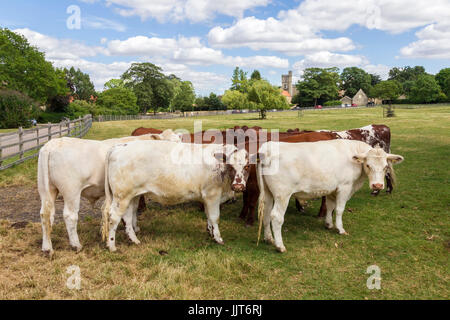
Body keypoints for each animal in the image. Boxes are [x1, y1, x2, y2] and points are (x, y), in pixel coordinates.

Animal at [37, 129, 181, 256]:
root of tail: (53, 144)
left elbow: (133, 210)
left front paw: (135, 228)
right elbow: (131, 210)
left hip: (47, 189)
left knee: (46, 215)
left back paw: (47, 248)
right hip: (71, 190)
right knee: (70, 216)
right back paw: (76, 245)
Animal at [100, 141, 251, 251]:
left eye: (247, 166)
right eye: (231, 166)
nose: (238, 185)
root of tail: (120, 146)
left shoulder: (207, 198)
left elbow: (208, 216)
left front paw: (210, 232)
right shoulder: (212, 195)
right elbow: (215, 217)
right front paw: (218, 238)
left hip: (132, 196)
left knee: (127, 216)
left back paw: (134, 240)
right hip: (121, 196)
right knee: (114, 217)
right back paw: (112, 246)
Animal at [256, 140, 404, 252]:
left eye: (385, 167)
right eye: (368, 165)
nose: (377, 185)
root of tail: (267, 148)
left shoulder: (333, 188)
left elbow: (330, 206)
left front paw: (328, 224)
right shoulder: (345, 187)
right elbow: (339, 209)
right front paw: (340, 229)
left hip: (268, 193)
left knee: (267, 213)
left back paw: (269, 239)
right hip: (282, 194)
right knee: (276, 217)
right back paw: (280, 246)